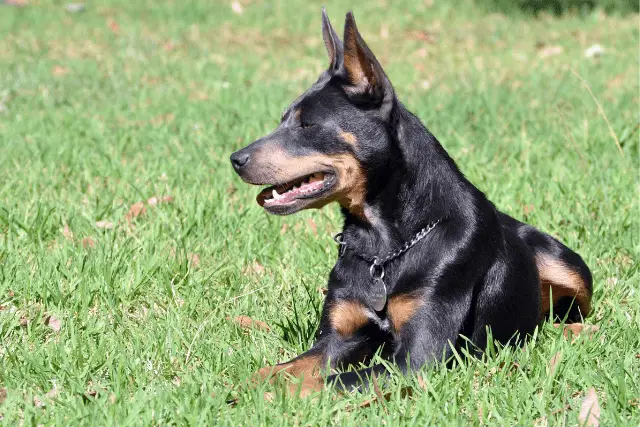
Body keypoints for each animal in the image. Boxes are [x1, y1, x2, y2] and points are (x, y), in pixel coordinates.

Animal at [228, 9, 592, 398]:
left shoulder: (417, 360)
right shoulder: (338, 338)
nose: (236, 159)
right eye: (282, 120)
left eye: (308, 125)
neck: (383, 246)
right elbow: (281, 370)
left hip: (566, 263)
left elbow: (330, 383)